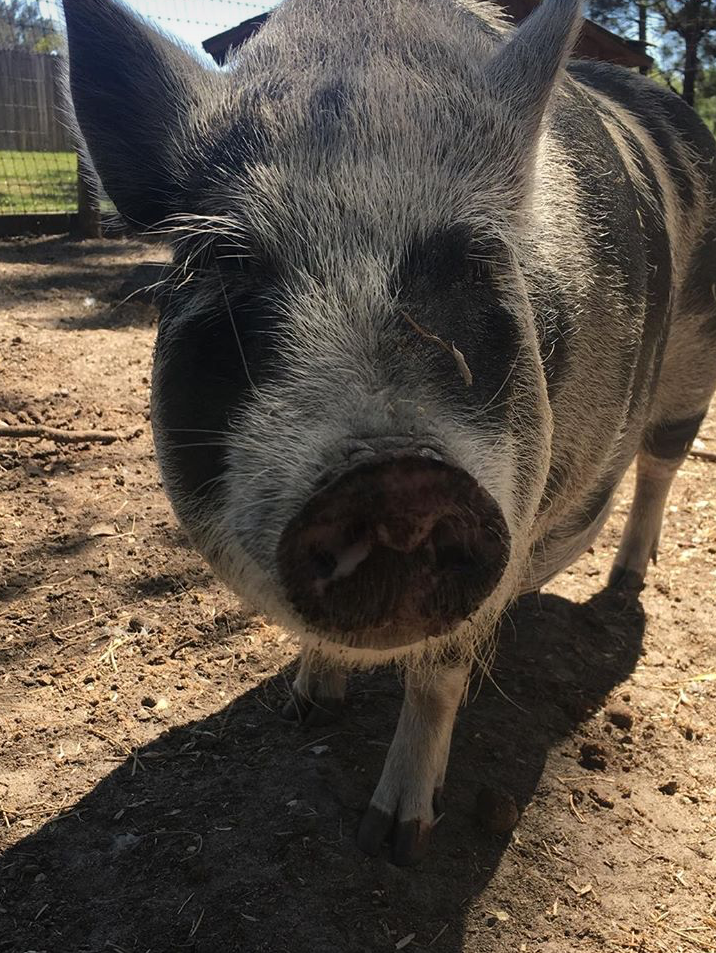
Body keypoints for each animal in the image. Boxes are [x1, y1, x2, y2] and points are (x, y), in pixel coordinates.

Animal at [62, 0, 716, 864]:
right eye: (230, 263)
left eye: (474, 264)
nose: (395, 474)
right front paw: (306, 706)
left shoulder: (512, 517)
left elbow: (438, 675)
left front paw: (396, 839)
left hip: (696, 368)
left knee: (660, 470)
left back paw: (624, 584)